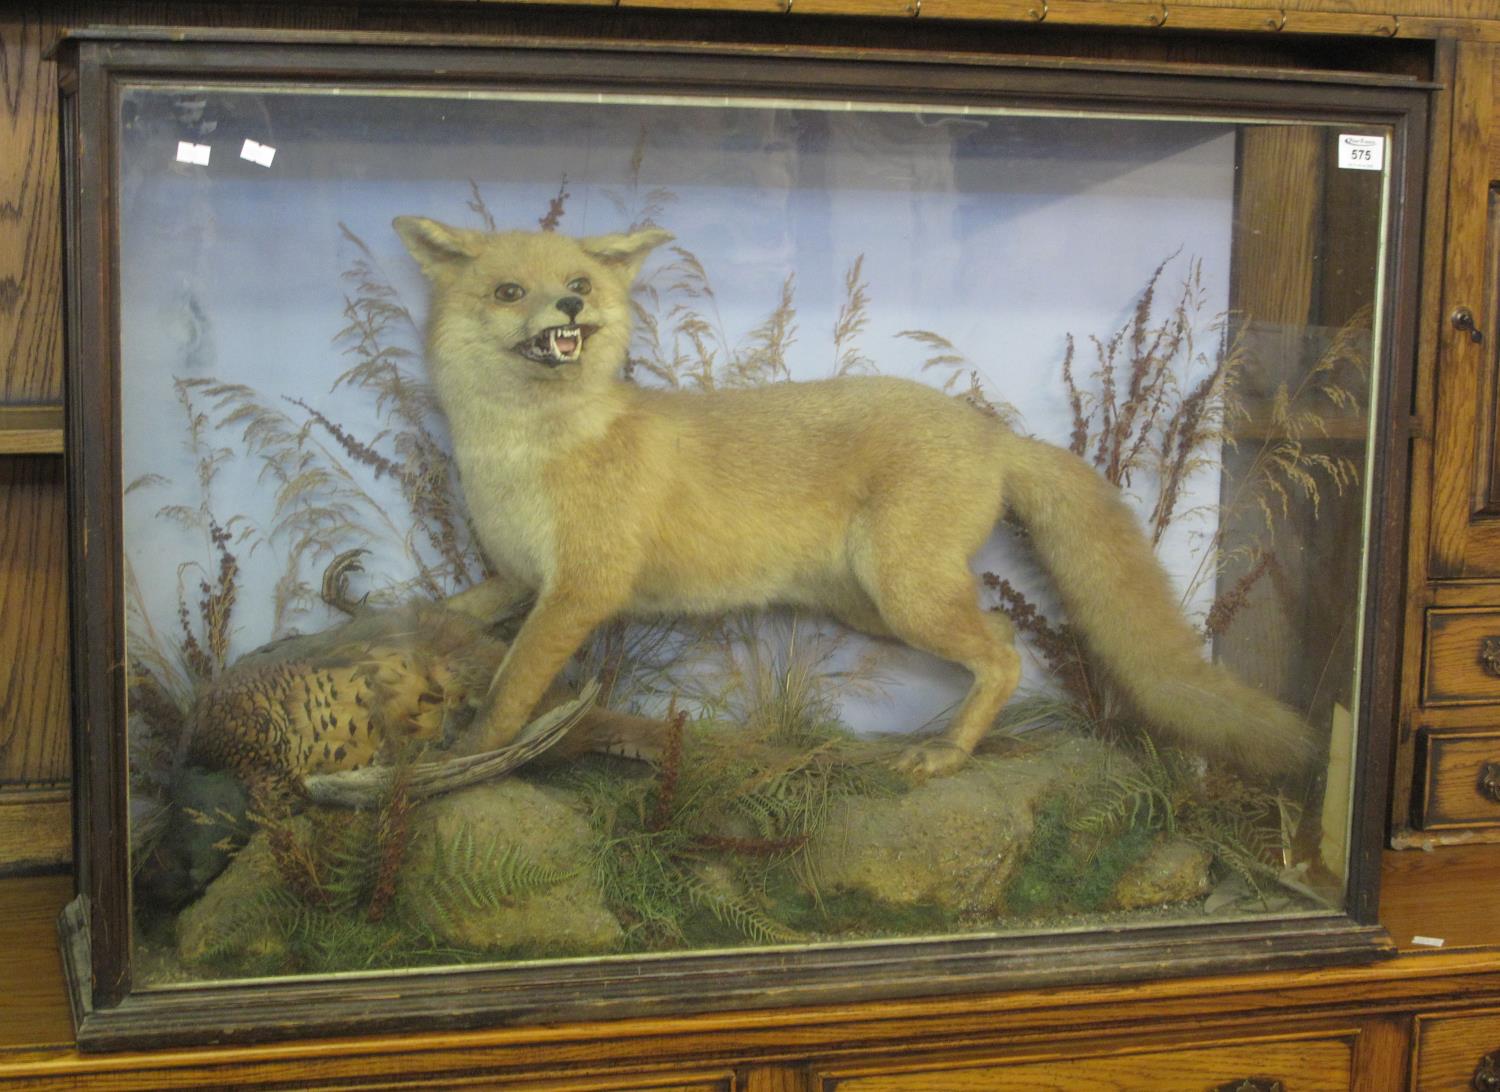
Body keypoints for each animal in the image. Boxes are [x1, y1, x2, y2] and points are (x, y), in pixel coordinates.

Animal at [393, 217, 1308, 774]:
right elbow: (454, 613)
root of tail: (993, 434)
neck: (522, 455)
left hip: (906, 594)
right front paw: (402, 634)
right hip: (874, 604)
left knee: (1004, 650)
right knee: (1005, 632)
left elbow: (513, 687)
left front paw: (462, 758)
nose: (570, 305)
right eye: (509, 291)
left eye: (579, 280)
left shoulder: (581, 589)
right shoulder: (520, 578)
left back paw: (946, 756)